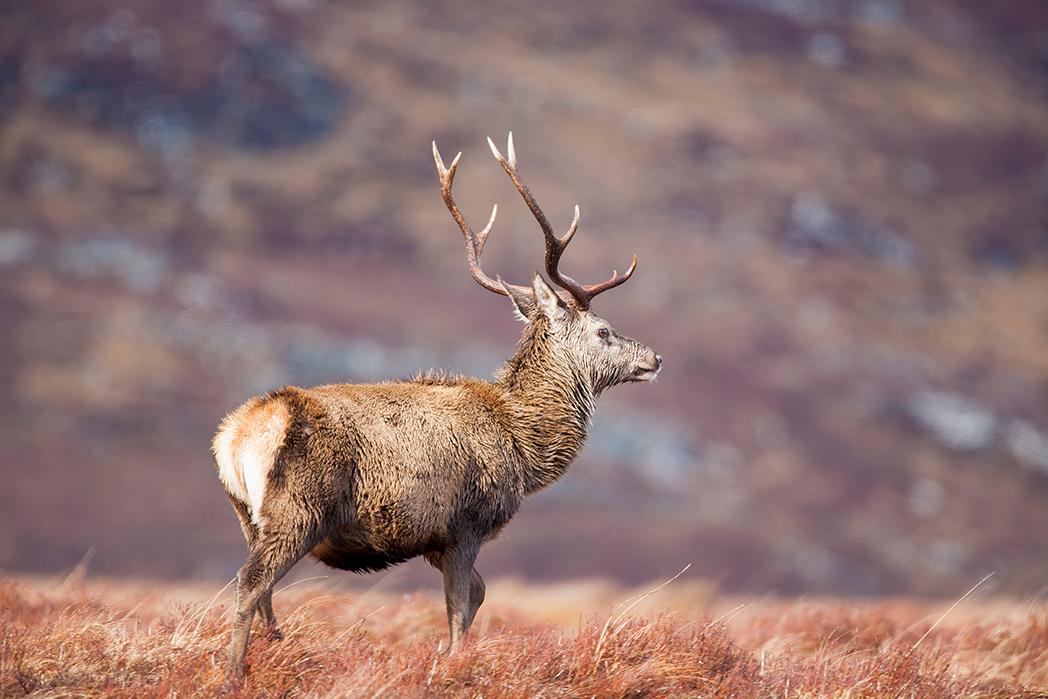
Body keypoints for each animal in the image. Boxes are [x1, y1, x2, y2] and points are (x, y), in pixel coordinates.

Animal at [213, 133, 662, 684]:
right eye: (603, 330)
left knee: (262, 587)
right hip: (298, 508)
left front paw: (451, 657)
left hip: (247, 515)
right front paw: (454, 664)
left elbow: (478, 595)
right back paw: (234, 675)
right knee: (251, 581)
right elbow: (459, 603)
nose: (655, 358)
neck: (524, 448)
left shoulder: (432, 539)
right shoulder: (466, 522)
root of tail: (236, 435)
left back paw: (277, 650)